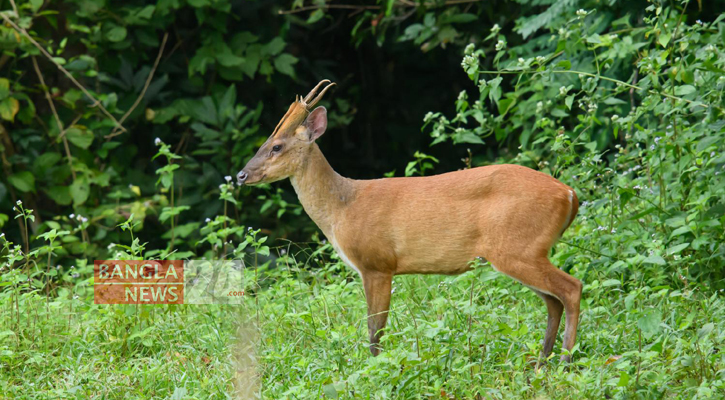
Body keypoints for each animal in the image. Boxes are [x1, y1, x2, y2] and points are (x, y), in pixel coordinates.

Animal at [238, 80, 584, 362]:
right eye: (264, 144)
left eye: (276, 146)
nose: (242, 175)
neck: (342, 208)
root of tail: (569, 194)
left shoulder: (377, 263)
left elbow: (375, 328)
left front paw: (375, 369)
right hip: (521, 251)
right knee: (553, 301)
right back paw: (541, 362)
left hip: (518, 246)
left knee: (571, 288)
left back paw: (565, 360)